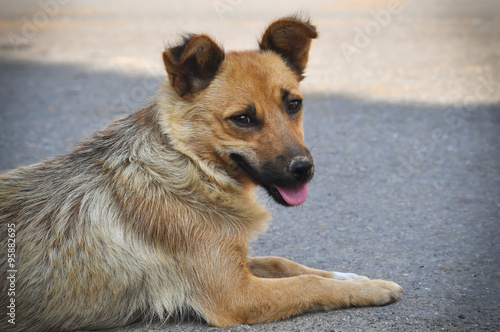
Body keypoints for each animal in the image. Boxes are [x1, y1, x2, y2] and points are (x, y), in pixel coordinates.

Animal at [0, 16, 404, 332]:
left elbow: (284, 263)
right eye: (243, 119)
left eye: (294, 104)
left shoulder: (234, 264)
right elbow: (306, 285)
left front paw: (350, 276)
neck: (190, 164)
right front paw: (370, 289)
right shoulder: (237, 295)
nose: (304, 170)